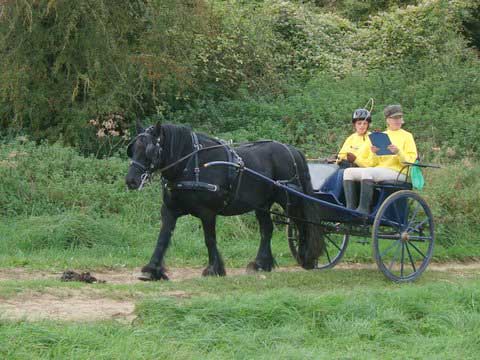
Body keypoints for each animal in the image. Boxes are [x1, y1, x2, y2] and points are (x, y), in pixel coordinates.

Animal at [125, 122, 324, 280]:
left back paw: (307, 258)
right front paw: (152, 269)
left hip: (290, 199)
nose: (131, 181)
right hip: (262, 204)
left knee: (302, 225)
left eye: (150, 150)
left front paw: (214, 269)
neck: (190, 165)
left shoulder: (207, 212)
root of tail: (291, 150)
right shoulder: (169, 210)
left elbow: (209, 239)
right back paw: (261, 264)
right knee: (267, 230)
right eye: (133, 149)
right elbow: (163, 238)